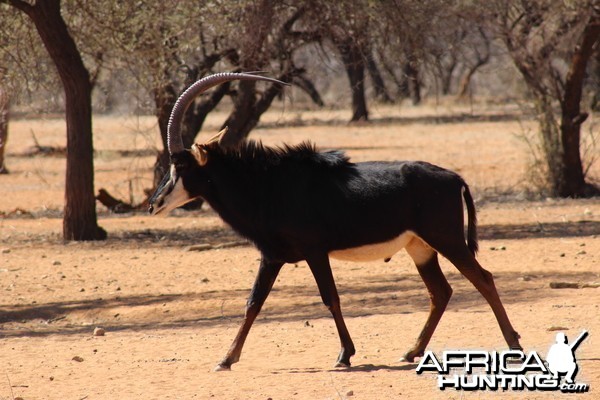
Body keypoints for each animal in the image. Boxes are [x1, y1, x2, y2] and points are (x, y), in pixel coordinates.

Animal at [149, 72, 520, 372]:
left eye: (180, 166)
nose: (154, 203)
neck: (267, 184)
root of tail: (455, 178)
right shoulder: (272, 257)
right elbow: (253, 302)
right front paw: (226, 359)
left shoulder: (314, 252)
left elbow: (330, 298)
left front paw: (345, 355)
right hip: (420, 248)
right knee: (441, 292)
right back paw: (411, 352)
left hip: (447, 240)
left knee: (483, 279)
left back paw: (513, 343)